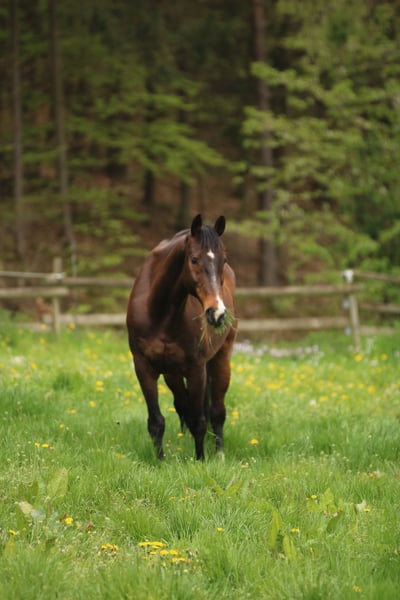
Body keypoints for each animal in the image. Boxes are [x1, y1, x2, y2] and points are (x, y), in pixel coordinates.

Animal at [126, 214, 237, 460]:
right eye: (194, 260)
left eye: (223, 260)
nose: (217, 313)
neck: (159, 313)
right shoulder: (143, 367)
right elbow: (156, 421)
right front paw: (159, 461)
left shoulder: (196, 369)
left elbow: (199, 421)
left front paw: (200, 460)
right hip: (172, 374)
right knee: (182, 404)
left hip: (220, 360)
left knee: (217, 411)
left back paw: (220, 454)